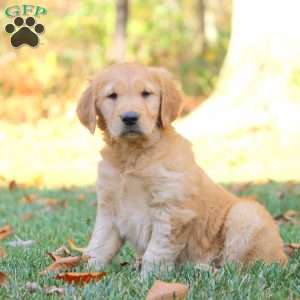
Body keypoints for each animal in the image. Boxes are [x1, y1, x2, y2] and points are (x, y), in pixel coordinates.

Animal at [76, 62, 288, 276]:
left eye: (146, 93)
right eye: (112, 95)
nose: (130, 118)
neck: (133, 154)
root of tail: (284, 256)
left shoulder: (171, 209)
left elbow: (157, 251)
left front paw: (148, 278)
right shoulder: (109, 209)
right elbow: (98, 246)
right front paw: (88, 273)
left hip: (246, 214)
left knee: (238, 267)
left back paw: (203, 268)